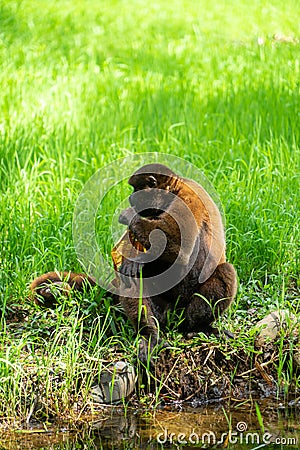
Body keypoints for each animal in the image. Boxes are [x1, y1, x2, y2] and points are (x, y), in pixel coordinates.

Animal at [117, 164, 237, 366]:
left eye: (135, 189)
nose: (131, 198)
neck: (173, 190)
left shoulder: (187, 198)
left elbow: (179, 244)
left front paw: (130, 217)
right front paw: (132, 260)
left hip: (186, 307)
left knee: (226, 270)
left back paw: (198, 326)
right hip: (162, 308)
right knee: (132, 278)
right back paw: (150, 334)